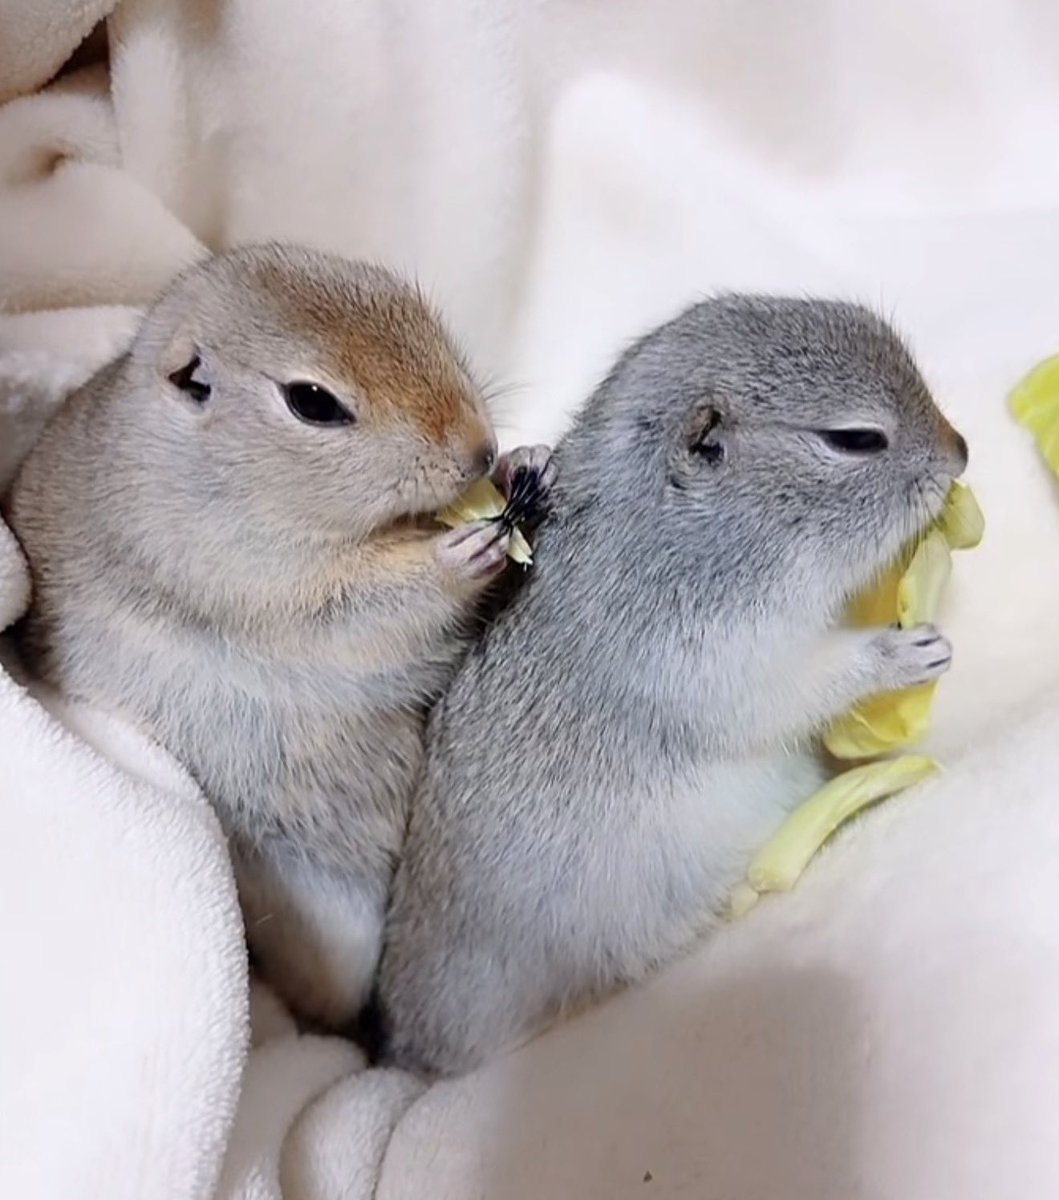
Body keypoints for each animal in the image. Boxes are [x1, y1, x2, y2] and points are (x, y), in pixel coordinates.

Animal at [2, 242, 552, 1029]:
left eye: (410, 304)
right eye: (312, 403)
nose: (480, 450)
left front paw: (524, 466)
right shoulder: (243, 574)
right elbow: (357, 604)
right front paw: (461, 549)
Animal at [367, 295, 970, 1077]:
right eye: (855, 439)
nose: (962, 452)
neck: (686, 524)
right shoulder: (709, 645)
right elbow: (788, 688)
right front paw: (906, 652)